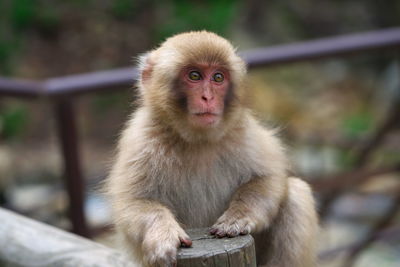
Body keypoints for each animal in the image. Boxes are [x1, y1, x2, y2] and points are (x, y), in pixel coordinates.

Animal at [104, 31, 318, 267]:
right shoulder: (141, 142)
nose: (208, 97)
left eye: (218, 78)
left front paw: (238, 216)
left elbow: (269, 178)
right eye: (194, 76)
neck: (198, 141)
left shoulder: (243, 133)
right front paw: (163, 234)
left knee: (296, 195)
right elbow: (134, 203)